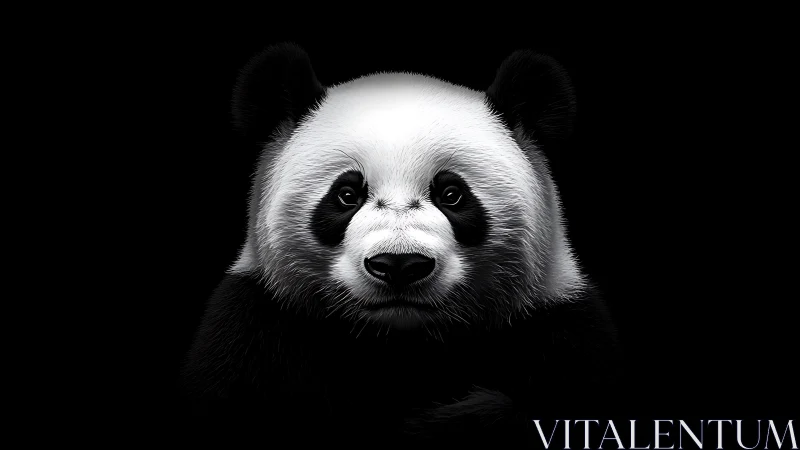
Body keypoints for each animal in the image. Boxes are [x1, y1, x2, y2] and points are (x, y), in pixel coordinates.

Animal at [181, 43, 623, 447]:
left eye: (452, 194)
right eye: (346, 195)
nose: (399, 265)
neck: (400, 345)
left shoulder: (560, 329)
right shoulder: (254, 325)